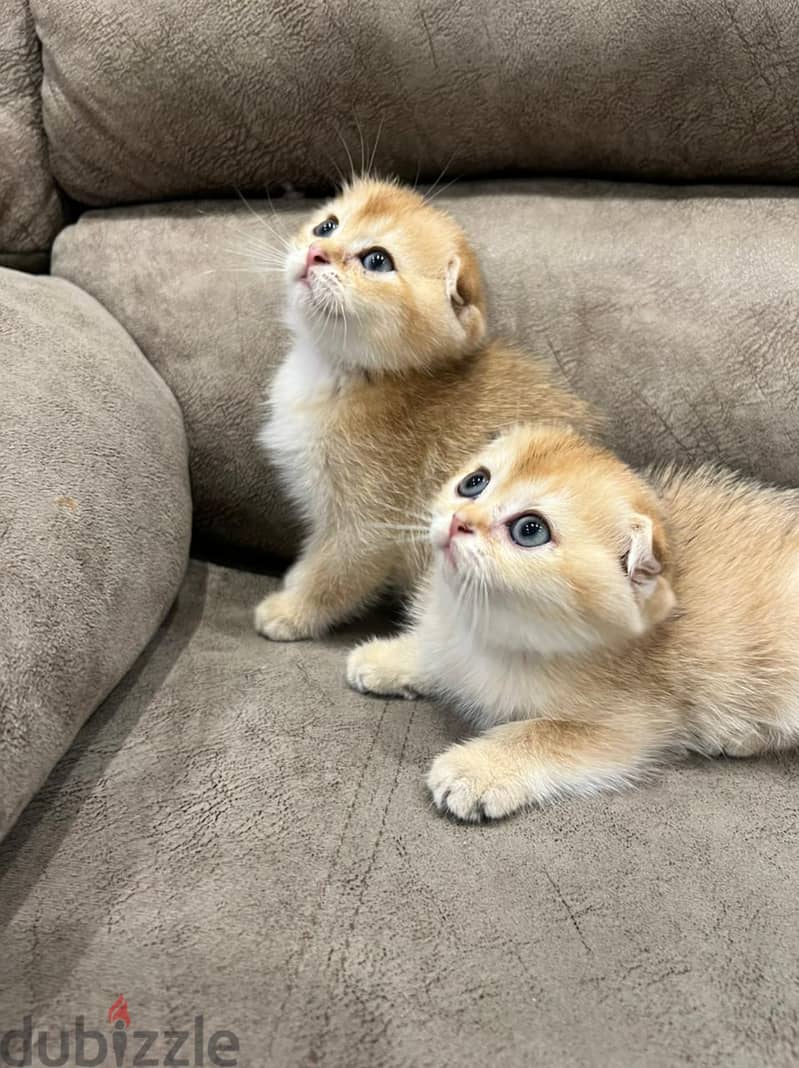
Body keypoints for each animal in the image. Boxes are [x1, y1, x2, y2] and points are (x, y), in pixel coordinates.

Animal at [253, 179, 598, 636]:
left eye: (377, 260)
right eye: (327, 226)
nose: (315, 252)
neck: (344, 373)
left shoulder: (370, 523)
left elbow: (336, 573)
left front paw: (292, 611)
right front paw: (295, 583)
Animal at [346, 420, 799, 820]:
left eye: (530, 530)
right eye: (474, 482)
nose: (460, 521)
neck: (487, 626)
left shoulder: (637, 724)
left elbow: (546, 732)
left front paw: (477, 769)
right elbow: (439, 656)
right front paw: (391, 658)